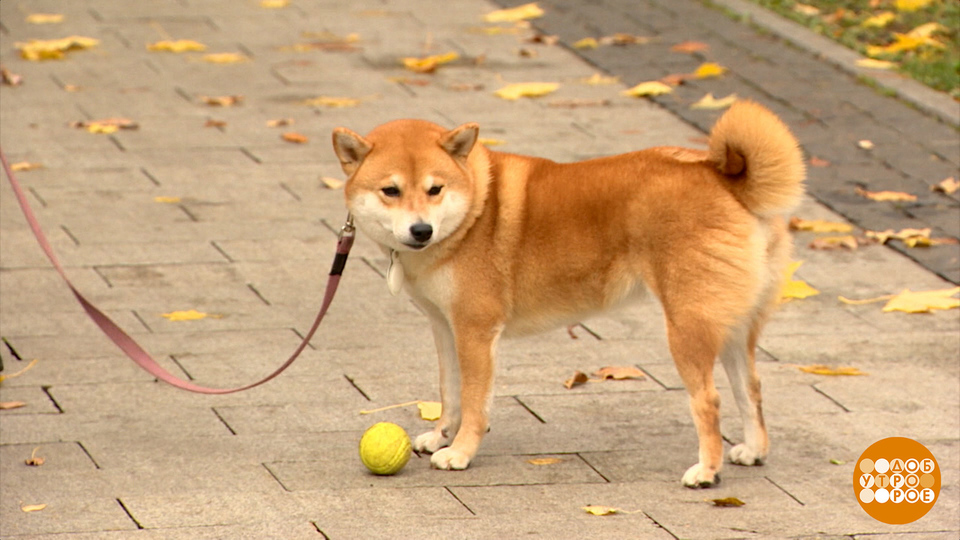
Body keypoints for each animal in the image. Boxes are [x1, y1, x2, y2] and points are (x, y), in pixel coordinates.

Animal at [334, 99, 808, 488]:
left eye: (435, 189)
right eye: (391, 191)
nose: (421, 230)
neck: (475, 212)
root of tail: (727, 181)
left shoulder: (476, 331)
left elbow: (474, 401)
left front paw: (461, 452)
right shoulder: (445, 327)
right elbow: (449, 393)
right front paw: (440, 437)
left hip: (688, 327)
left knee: (708, 400)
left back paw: (706, 471)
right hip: (730, 326)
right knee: (751, 389)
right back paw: (754, 450)